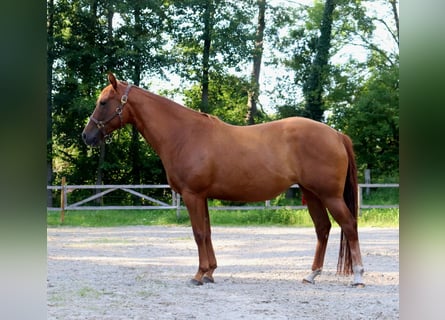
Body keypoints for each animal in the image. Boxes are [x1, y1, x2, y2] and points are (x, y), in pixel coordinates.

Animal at [81, 74, 362, 286]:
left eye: (103, 102)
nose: (86, 136)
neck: (184, 135)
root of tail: (336, 134)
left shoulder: (192, 195)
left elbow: (198, 233)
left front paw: (198, 275)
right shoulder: (202, 196)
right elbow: (207, 232)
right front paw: (210, 272)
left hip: (329, 195)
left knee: (349, 225)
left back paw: (358, 276)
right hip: (312, 194)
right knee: (323, 229)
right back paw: (311, 275)